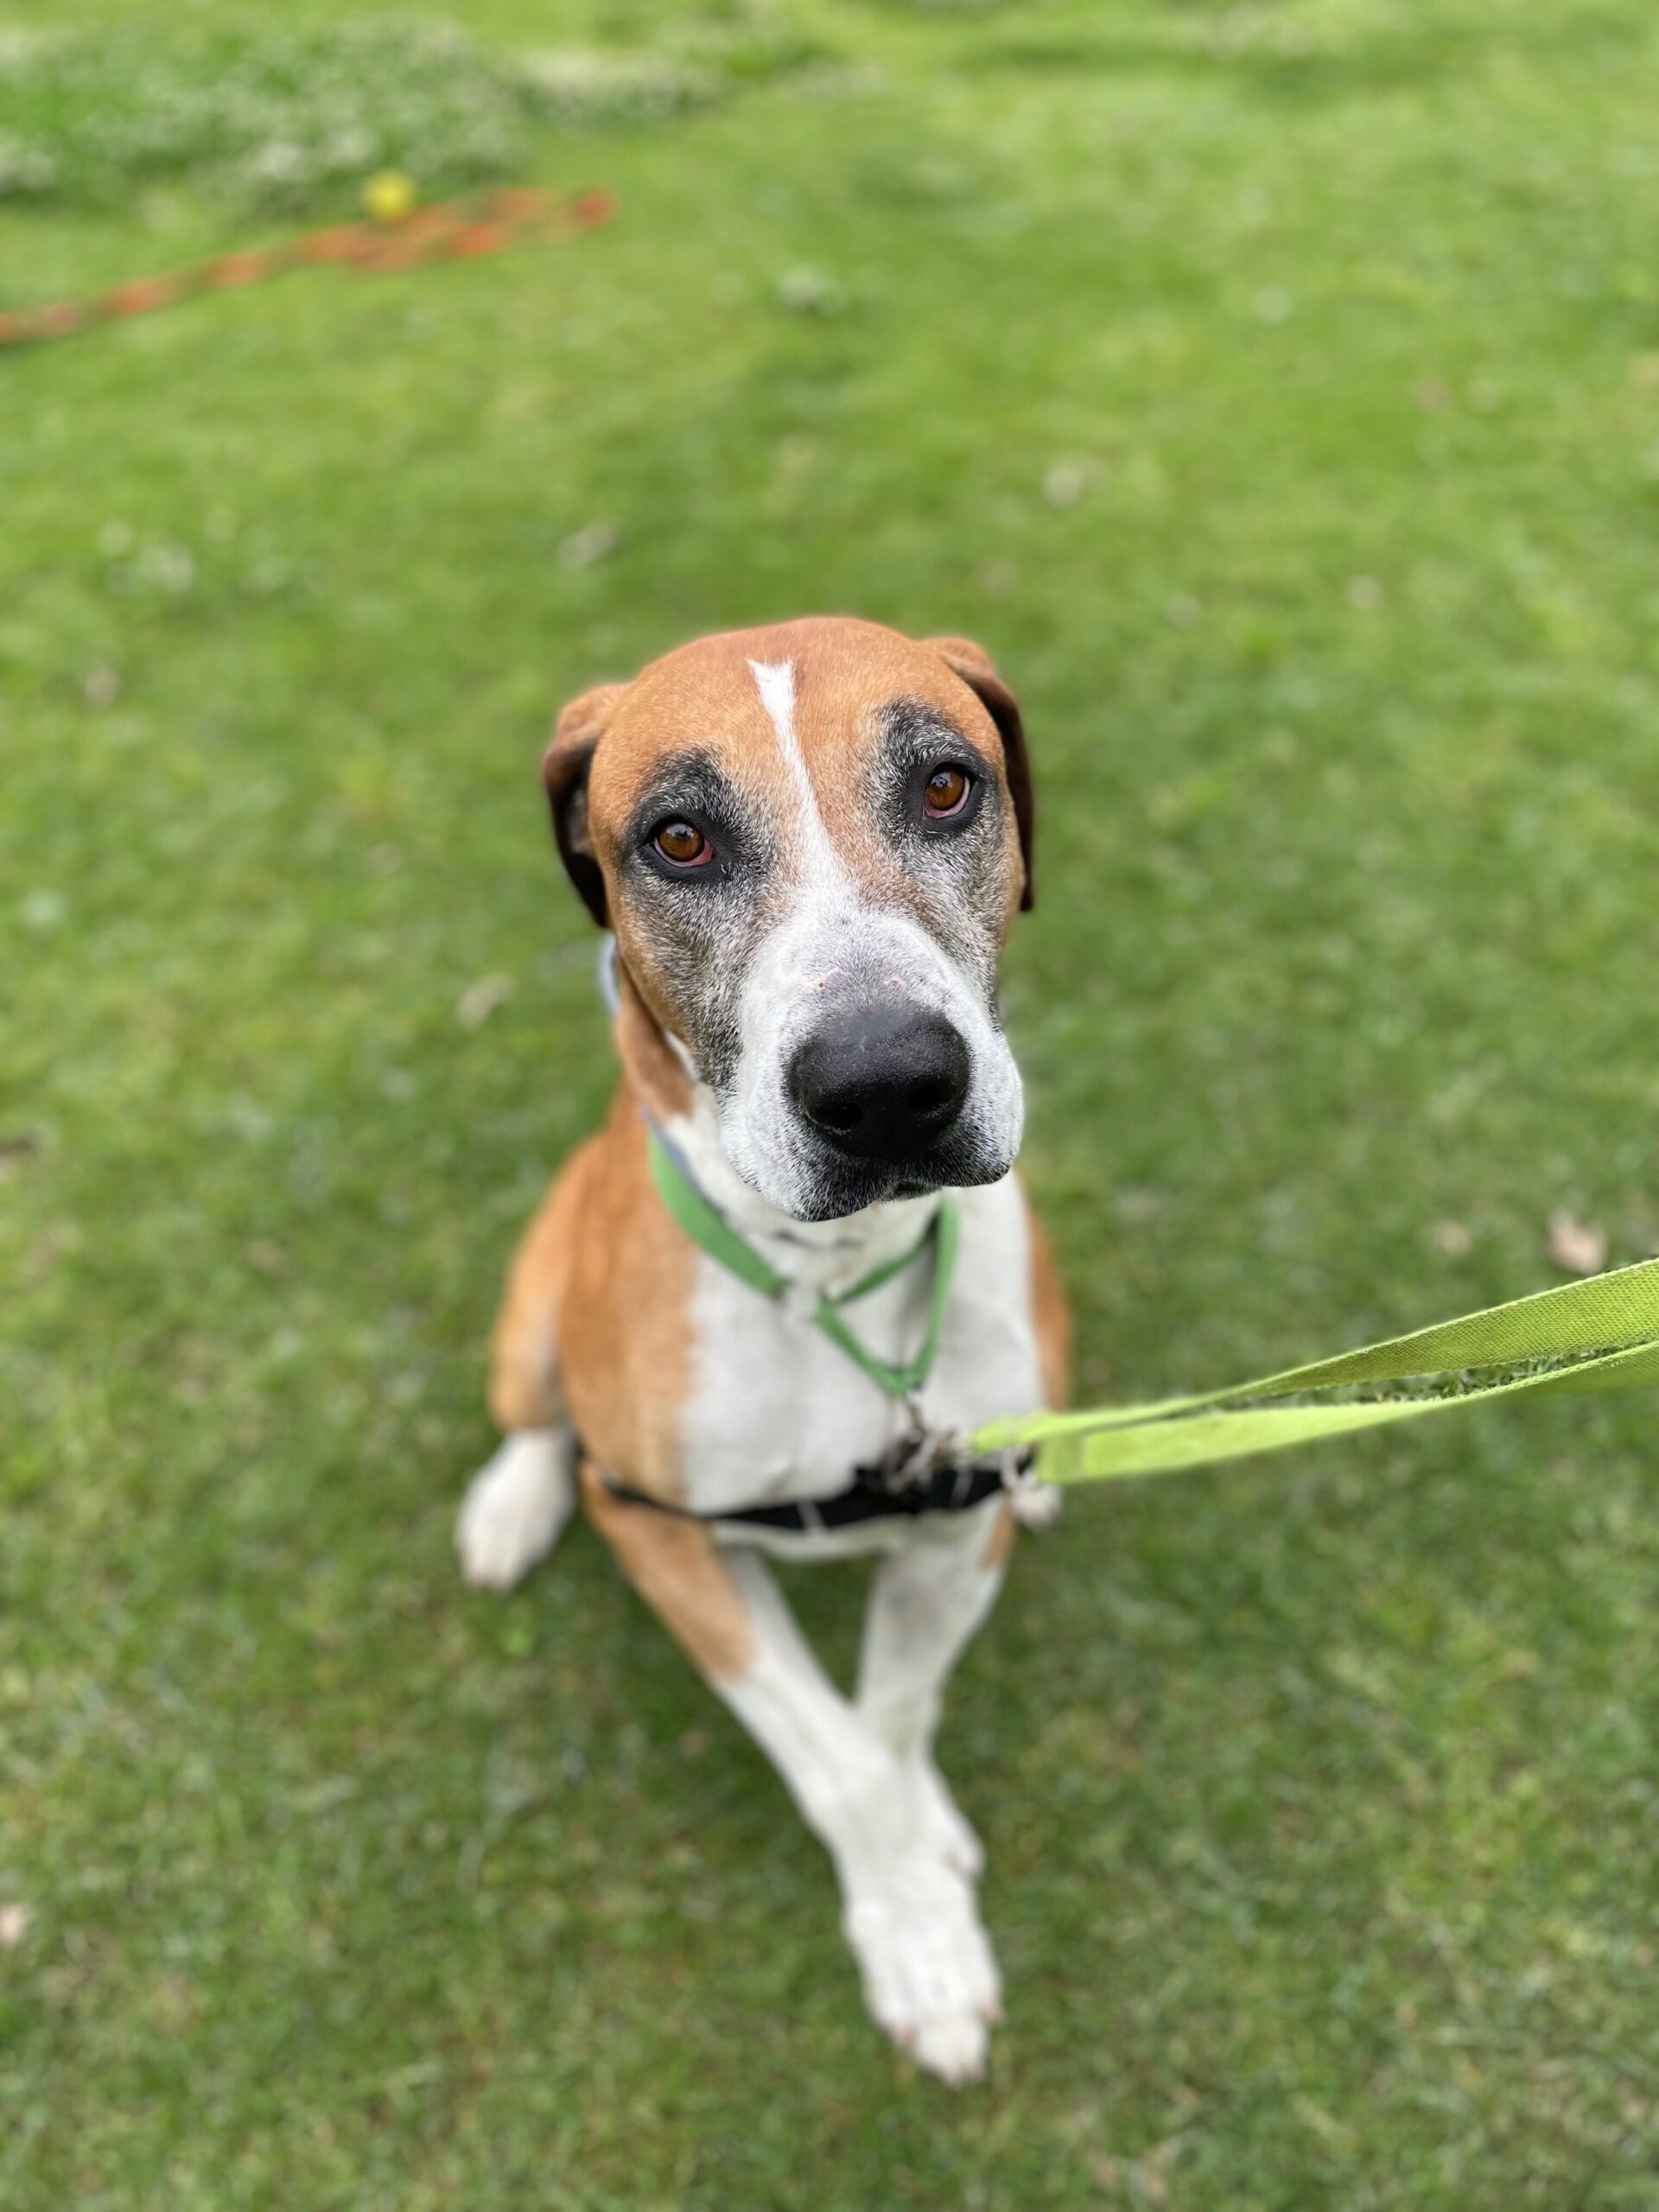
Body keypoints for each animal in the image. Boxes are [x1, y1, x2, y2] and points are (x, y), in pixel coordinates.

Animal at [455, 617, 1069, 2083]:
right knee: (537, 1416)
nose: (888, 1084)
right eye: (678, 839)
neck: (828, 1281)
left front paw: (924, 1864)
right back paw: (511, 1503)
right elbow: (842, 1764)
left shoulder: (953, 1529)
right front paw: (919, 1939)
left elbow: (891, 1722)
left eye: (948, 787)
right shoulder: (663, 1535)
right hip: (535, 1302)